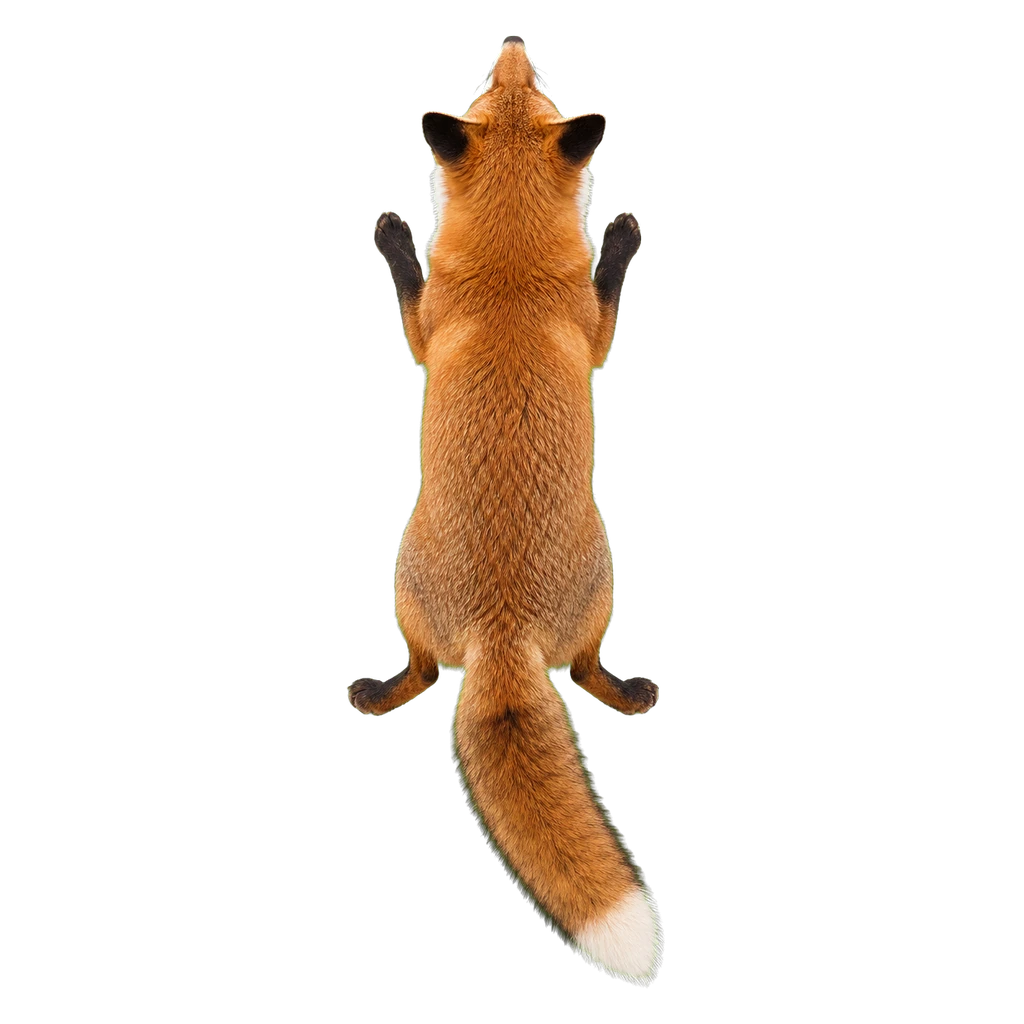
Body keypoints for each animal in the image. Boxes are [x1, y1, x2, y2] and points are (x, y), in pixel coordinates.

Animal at [351, 35, 660, 984]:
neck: (512, 275)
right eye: (494, 87)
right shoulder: (572, 328)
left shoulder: (467, 324)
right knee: (572, 670)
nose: (514, 44)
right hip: (588, 582)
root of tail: (501, 627)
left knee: (429, 673)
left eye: (534, 89)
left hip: (413, 582)